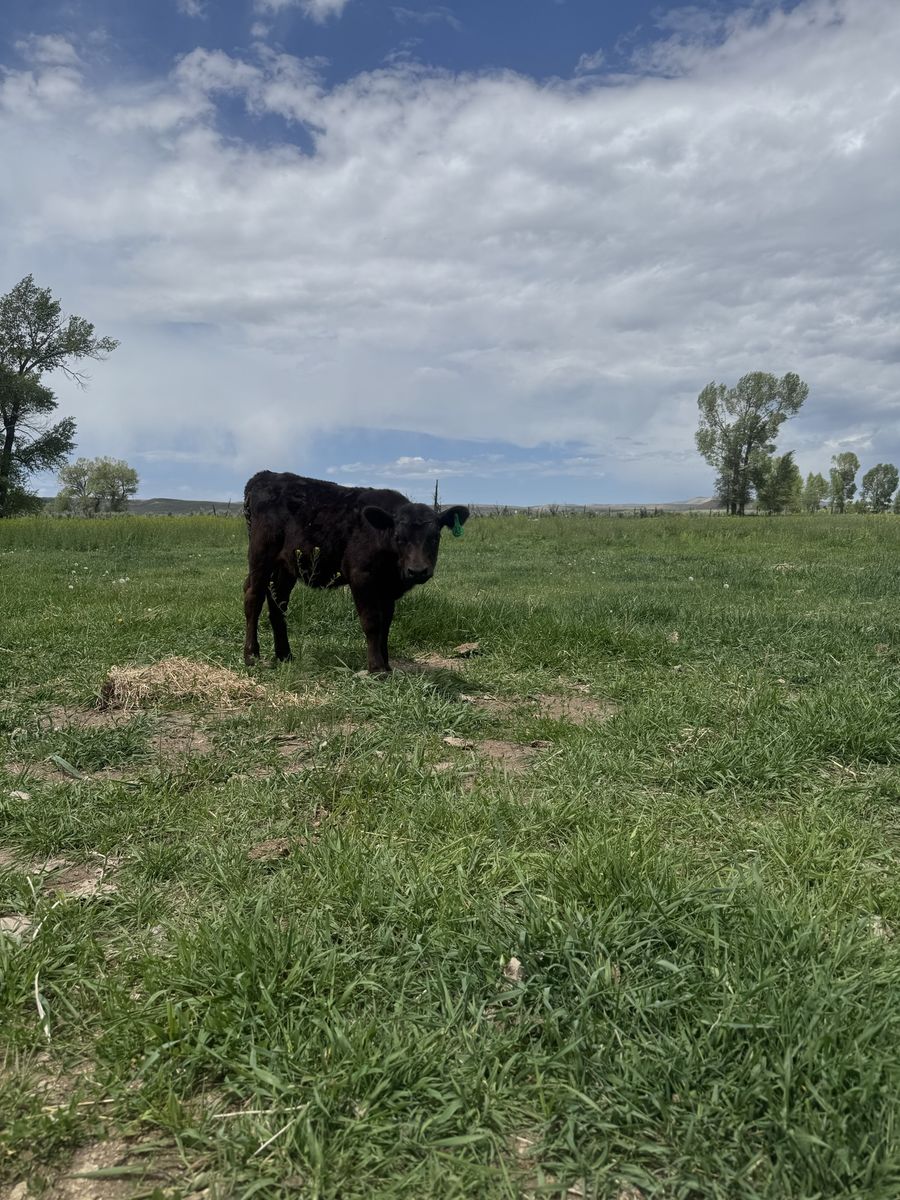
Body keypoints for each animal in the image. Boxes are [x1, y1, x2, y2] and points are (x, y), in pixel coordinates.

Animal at [242, 471, 470, 673]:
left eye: (435, 537)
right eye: (399, 537)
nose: (418, 571)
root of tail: (264, 475)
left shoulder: (387, 589)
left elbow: (385, 625)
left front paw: (387, 664)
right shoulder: (361, 576)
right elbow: (372, 622)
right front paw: (376, 668)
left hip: (286, 566)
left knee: (278, 603)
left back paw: (284, 655)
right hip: (261, 555)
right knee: (253, 597)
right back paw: (252, 655)